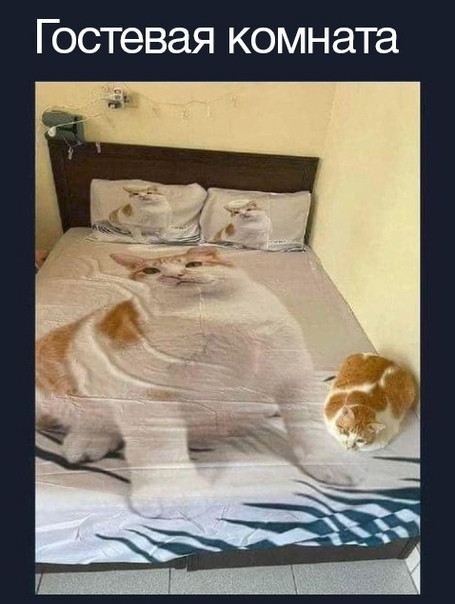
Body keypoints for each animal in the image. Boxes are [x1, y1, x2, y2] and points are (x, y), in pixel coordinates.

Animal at [36, 246, 314, 515]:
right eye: (151, 270)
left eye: (193, 264)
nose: (175, 275)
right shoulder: (144, 393)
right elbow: (159, 447)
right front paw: (170, 491)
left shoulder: (289, 366)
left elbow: (305, 420)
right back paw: (86, 441)